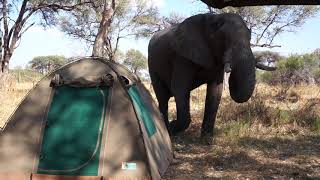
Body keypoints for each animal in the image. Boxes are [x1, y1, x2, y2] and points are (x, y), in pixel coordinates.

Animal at [148, 13, 276, 139]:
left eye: (250, 38)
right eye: (224, 38)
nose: (230, 68)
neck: (214, 17)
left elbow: (215, 91)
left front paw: (206, 140)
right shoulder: (182, 57)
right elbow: (179, 88)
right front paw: (172, 126)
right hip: (153, 66)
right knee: (163, 98)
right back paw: (166, 131)